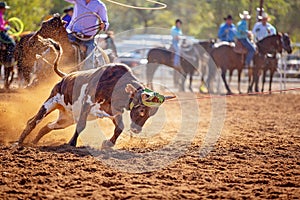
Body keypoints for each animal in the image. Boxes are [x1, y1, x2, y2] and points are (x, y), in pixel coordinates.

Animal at [19, 38, 173, 148]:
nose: (136, 130)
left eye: (151, 114)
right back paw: (19, 142)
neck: (116, 86)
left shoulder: (113, 112)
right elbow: (81, 125)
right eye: (141, 110)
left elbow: (120, 127)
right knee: (32, 122)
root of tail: (66, 76)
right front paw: (71, 143)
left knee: (47, 127)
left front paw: (108, 144)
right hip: (51, 102)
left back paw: (34, 142)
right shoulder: (87, 103)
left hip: (65, 119)